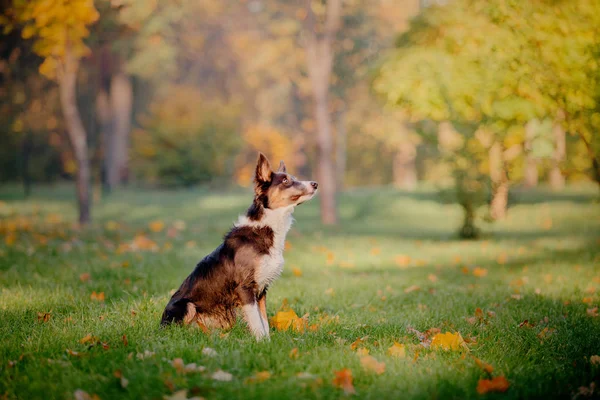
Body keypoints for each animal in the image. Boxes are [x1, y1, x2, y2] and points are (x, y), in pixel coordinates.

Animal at [159, 152, 318, 340]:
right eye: (286, 180)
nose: (315, 184)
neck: (265, 226)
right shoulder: (245, 288)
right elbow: (257, 322)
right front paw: (261, 342)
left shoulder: (261, 290)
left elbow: (264, 321)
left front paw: (268, 341)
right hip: (186, 306)